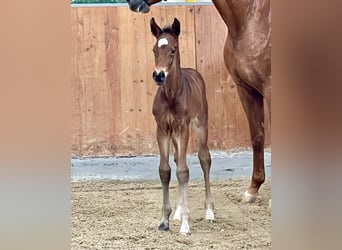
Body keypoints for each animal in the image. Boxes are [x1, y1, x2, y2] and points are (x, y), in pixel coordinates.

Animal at [127, 0, 272, 203]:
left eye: (173, 50)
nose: (132, 3)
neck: (252, 22)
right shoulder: (247, 91)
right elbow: (257, 137)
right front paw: (252, 190)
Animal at [150, 18, 214, 234]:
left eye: (173, 49)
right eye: (154, 49)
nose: (159, 75)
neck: (171, 95)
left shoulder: (182, 128)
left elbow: (183, 172)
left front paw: (186, 225)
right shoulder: (162, 129)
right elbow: (165, 170)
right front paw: (165, 220)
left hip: (200, 123)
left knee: (204, 158)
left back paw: (209, 212)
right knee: (178, 159)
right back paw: (178, 212)